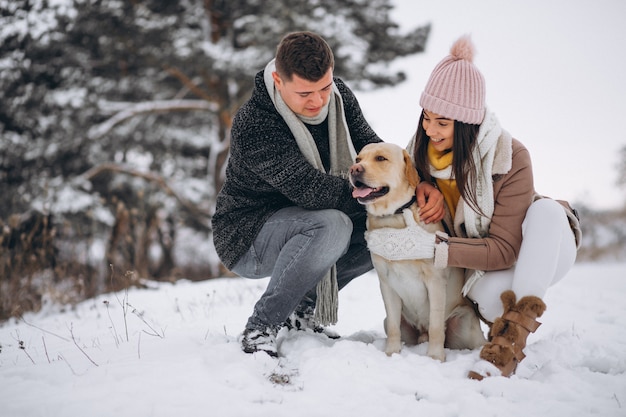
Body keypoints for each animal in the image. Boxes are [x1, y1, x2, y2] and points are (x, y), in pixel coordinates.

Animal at [346, 143, 482, 360]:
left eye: (380, 158)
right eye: (358, 159)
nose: (354, 169)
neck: (393, 217)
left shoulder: (435, 281)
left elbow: (436, 326)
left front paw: (435, 357)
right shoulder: (386, 283)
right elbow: (394, 327)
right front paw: (392, 353)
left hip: (465, 320)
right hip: (395, 322)